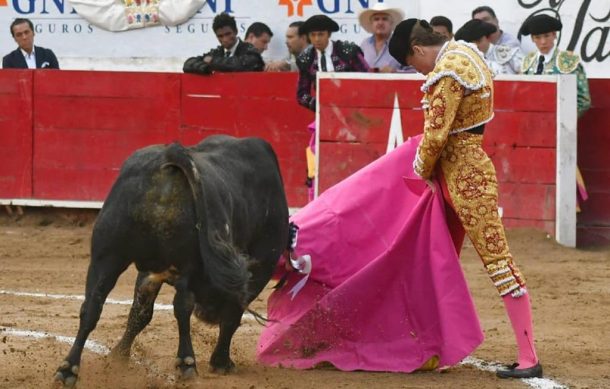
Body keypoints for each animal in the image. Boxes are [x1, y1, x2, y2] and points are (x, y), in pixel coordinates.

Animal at [54, 136, 288, 384]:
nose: (207, 316)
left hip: (106, 257)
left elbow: (141, 311)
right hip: (187, 263)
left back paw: (68, 369)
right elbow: (232, 315)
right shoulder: (259, 268)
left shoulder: (149, 272)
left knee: (91, 307)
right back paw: (187, 363)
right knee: (184, 307)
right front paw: (220, 362)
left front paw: (118, 356)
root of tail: (170, 156)